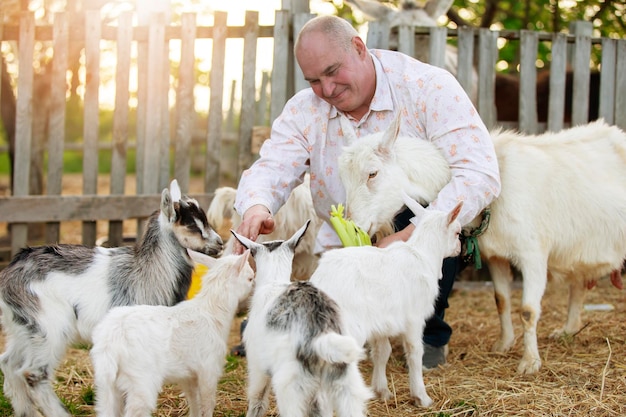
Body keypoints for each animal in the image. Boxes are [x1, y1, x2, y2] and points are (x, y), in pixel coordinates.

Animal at [0, 180, 224, 416]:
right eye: (192, 225)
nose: (220, 243)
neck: (149, 270)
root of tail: (8, 275)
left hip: (23, 329)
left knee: (9, 364)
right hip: (48, 327)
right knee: (33, 373)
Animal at [89, 247, 254, 416]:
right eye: (250, 278)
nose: (254, 290)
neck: (212, 311)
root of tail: (110, 341)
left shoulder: (188, 375)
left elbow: (194, 401)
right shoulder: (209, 368)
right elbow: (208, 403)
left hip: (106, 385)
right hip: (140, 380)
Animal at [230, 223, 370, 416]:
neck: (274, 282)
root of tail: (321, 336)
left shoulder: (257, 367)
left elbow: (257, 402)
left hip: (291, 389)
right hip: (345, 386)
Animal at [310, 195, 460, 406]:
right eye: (457, 232)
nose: (459, 249)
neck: (423, 255)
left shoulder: (381, 322)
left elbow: (382, 352)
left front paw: (382, 390)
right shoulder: (414, 319)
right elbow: (415, 352)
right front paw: (421, 397)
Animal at [338, 114, 624, 374]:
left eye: (372, 173)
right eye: (344, 178)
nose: (354, 226)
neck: (499, 189)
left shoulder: (533, 254)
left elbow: (528, 310)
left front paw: (529, 363)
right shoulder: (496, 256)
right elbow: (501, 300)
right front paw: (503, 344)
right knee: (578, 284)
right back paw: (567, 331)